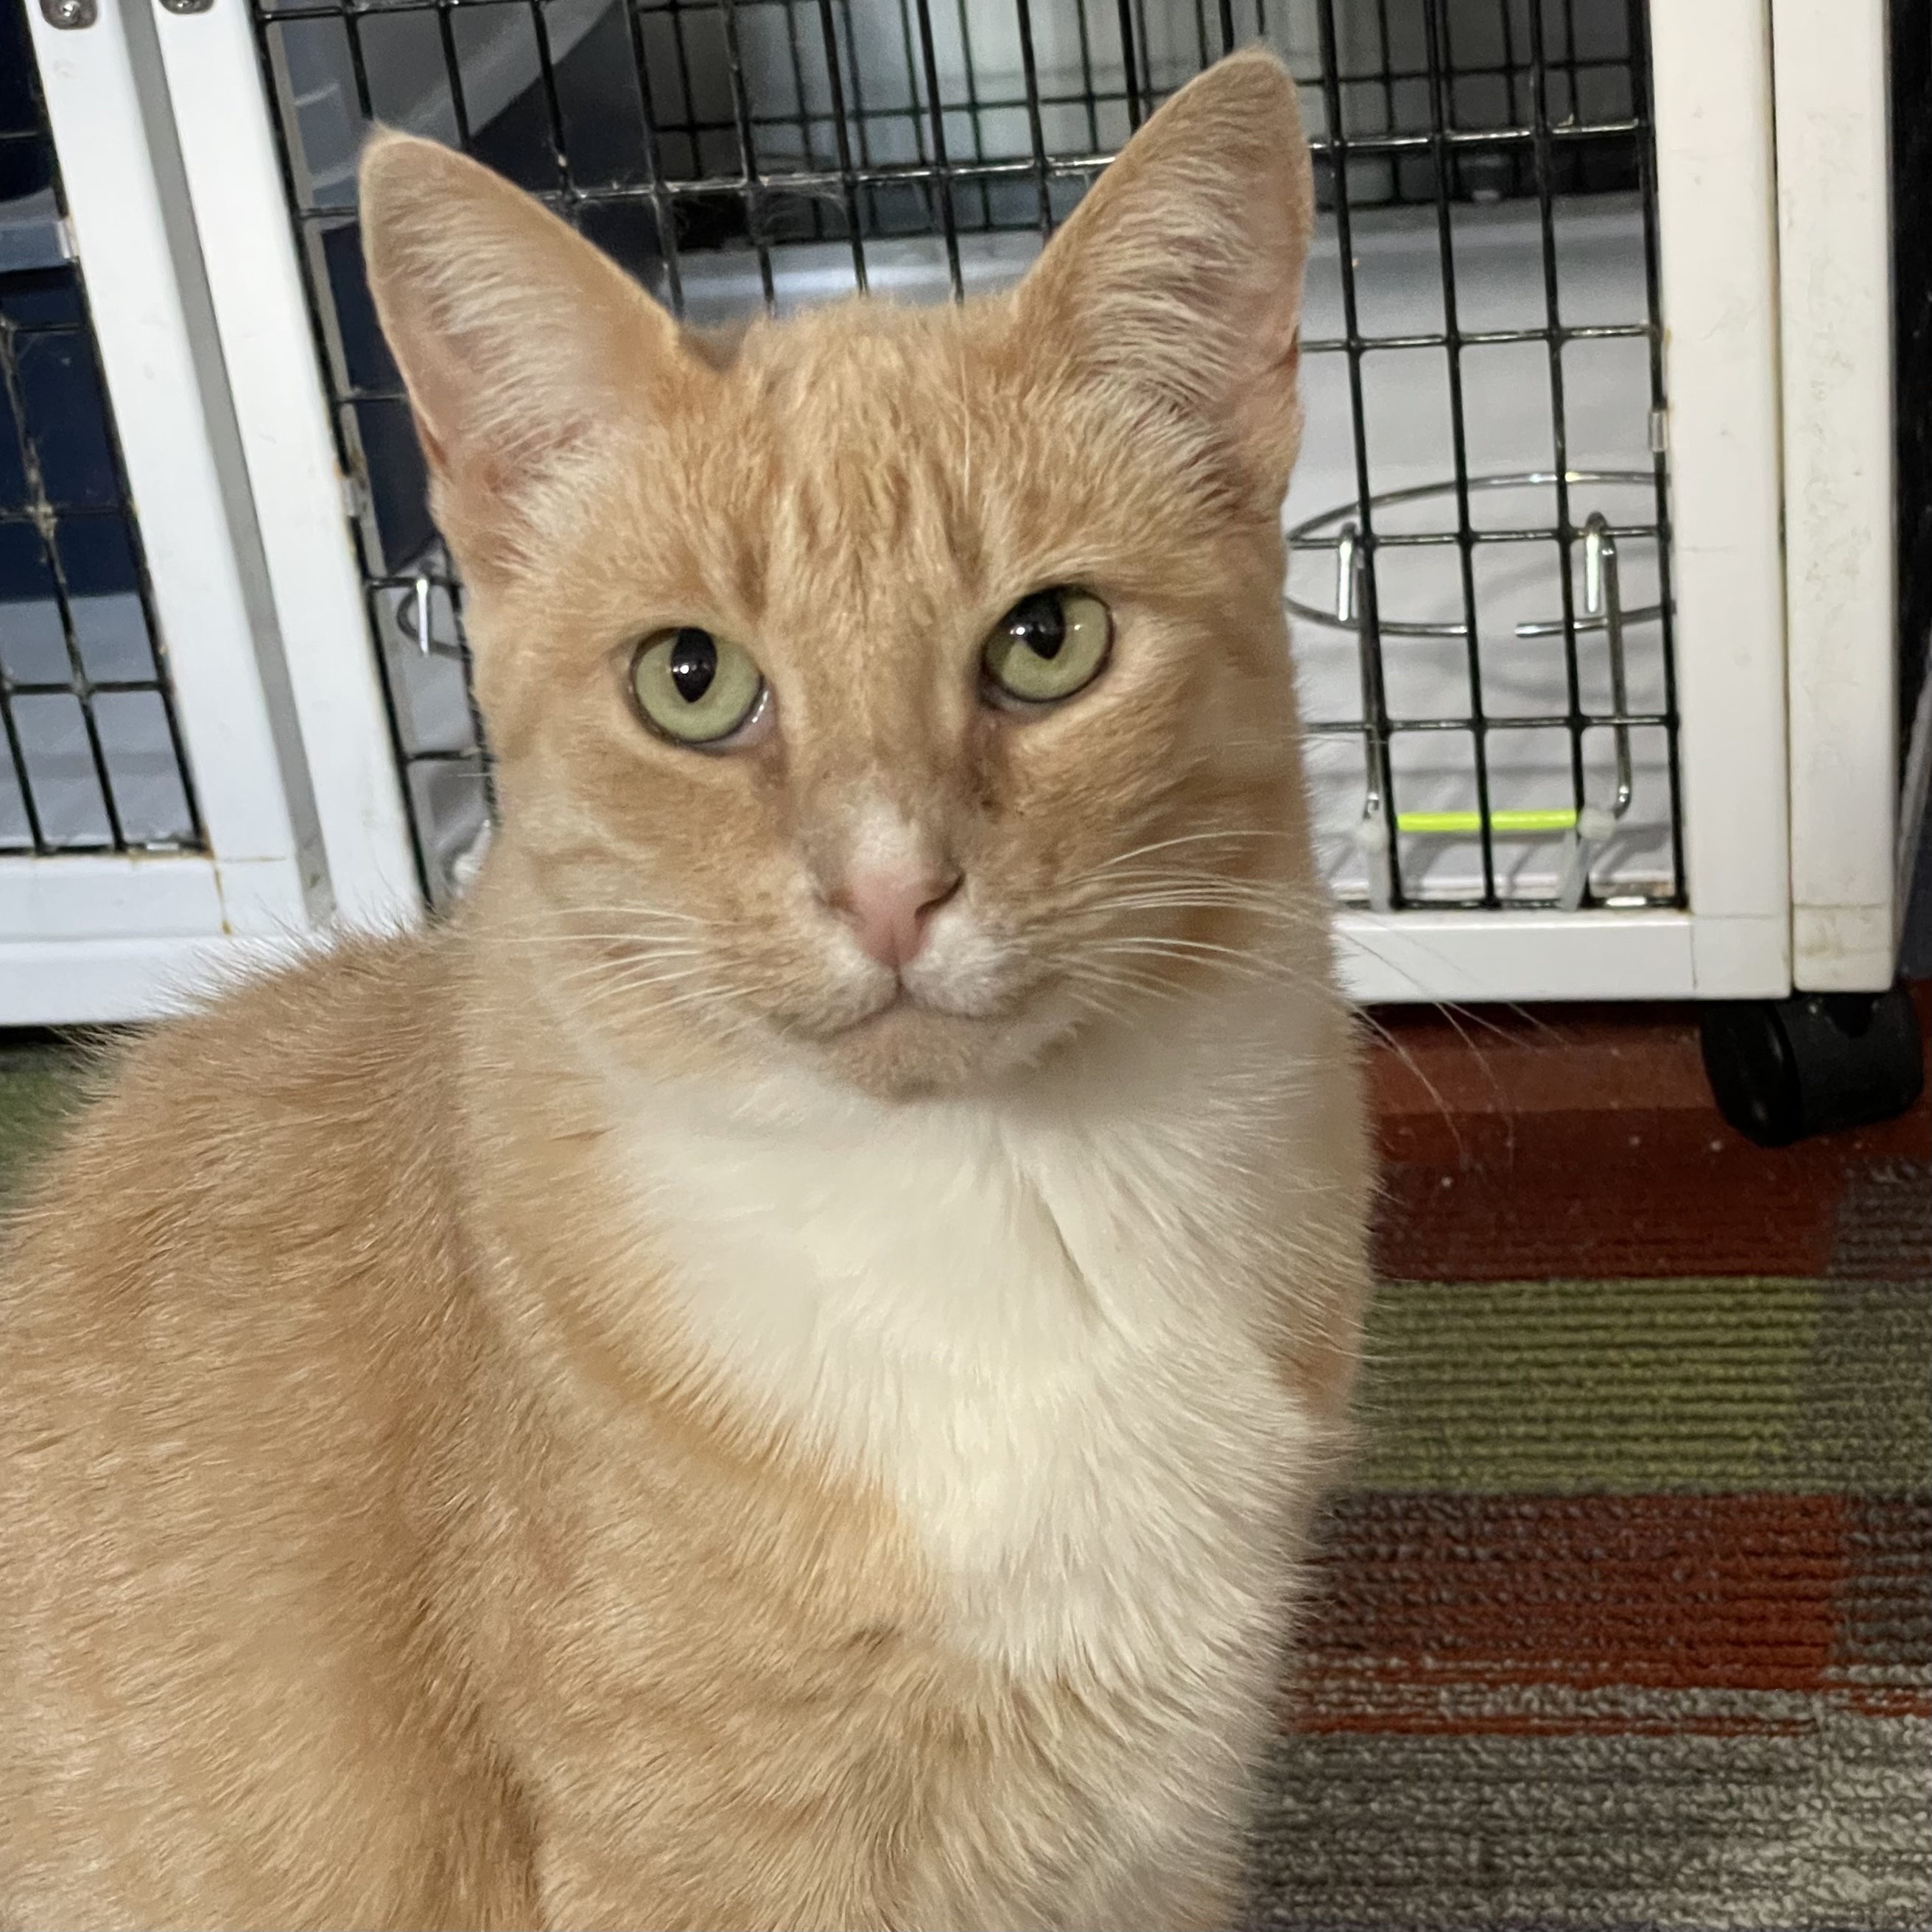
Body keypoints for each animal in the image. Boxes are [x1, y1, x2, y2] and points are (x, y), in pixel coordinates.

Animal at [0, 49, 1368, 1932]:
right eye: (691, 681)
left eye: (1048, 643)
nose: (888, 887)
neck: (989, 1208)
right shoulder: (699, 1851)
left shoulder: (1161, 1817)